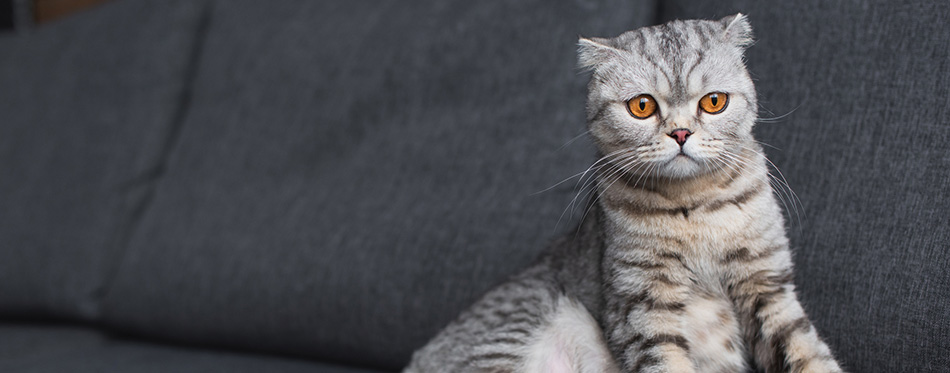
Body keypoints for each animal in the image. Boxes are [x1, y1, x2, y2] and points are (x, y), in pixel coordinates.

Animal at [406, 14, 844, 372]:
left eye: (714, 102)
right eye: (642, 106)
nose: (681, 132)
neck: (695, 207)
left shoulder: (768, 285)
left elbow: (808, 352)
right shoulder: (642, 302)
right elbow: (667, 362)